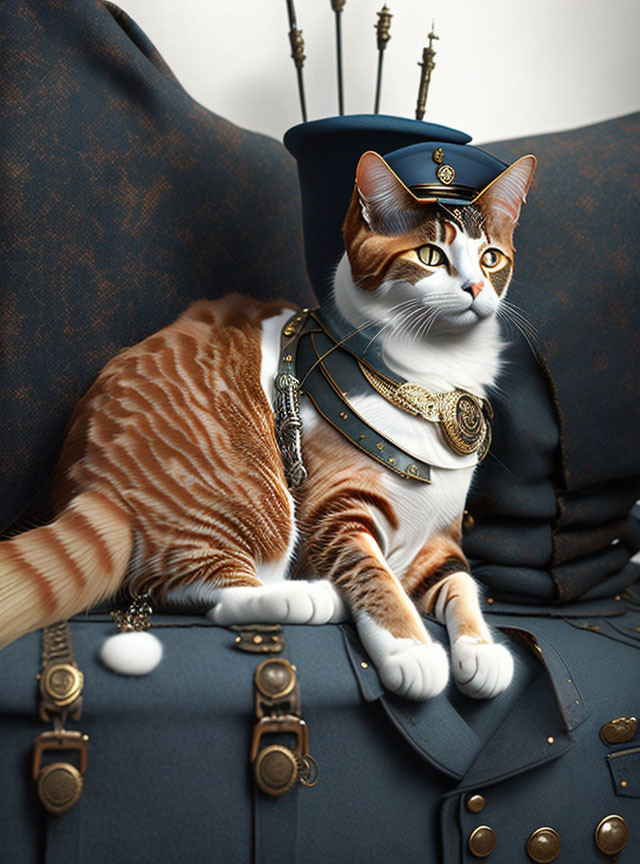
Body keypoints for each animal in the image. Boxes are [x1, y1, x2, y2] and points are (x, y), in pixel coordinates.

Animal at [0, 150, 536, 704]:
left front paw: (481, 649)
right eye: (430, 255)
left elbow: (462, 586)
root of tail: (89, 481)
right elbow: (376, 577)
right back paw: (309, 598)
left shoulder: (439, 541)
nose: (475, 288)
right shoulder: (333, 513)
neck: (437, 380)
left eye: (491, 258)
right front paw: (410, 649)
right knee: (200, 587)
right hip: (260, 503)